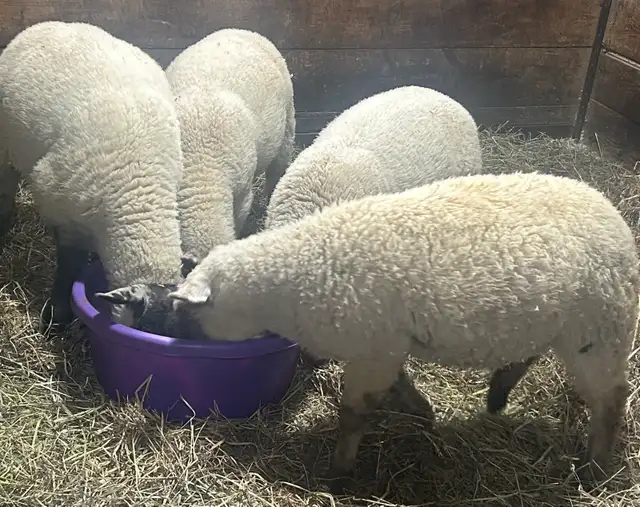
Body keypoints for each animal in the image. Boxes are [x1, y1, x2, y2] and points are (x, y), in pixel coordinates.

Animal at [98, 171, 639, 492]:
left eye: (186, 312)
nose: (175, 335)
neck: (295, 277)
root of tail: (614, 217)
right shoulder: (383, 349)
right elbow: (399, 387)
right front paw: (422, 412)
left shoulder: (372, 350)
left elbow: (354, 413)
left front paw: (337, 472)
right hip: (554, 326)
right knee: (529, 355)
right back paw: (499, 393)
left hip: (600, 331)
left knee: (613, 398)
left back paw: (594, 468)